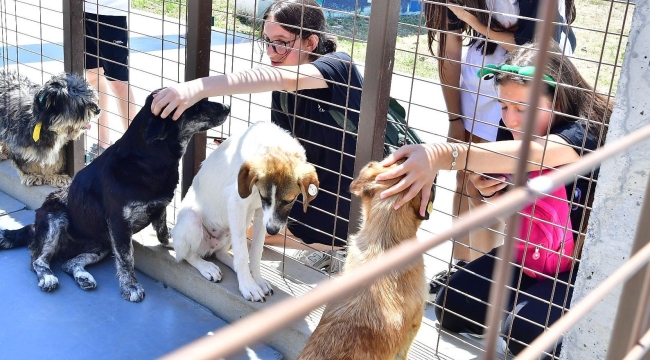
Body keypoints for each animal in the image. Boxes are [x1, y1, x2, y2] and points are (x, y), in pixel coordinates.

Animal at [0, 89, 229, 300]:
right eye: (195, 105)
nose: (227, 107)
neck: (146, 160)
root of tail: (34, 227)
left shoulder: (159, 207)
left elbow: (163, 232)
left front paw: (171, 242)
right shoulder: (119, 225)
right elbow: (127, 258)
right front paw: (130, 287)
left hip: (101, 245)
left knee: (69, 263)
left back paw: (83, 277)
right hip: (56, 219)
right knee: (37, 261)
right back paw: (48, 277)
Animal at [170, 122, 316, 302]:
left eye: (289, 201)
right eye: (264, 197)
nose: (272, 231)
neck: (274, 145)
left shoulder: (261, 212)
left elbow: (256, 252)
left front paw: (257, 279)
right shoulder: (237, 203)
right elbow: (242, 253)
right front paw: (248, 286)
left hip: (238, 225)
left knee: (219, 253)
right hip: (193, 220)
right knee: (188, 255)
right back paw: (207, 267)